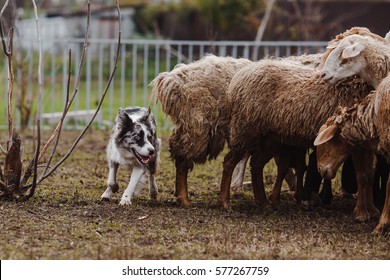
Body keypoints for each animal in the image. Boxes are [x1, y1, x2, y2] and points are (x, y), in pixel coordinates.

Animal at [219, 58, 374, 221]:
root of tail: (238, 78)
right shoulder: (355, 141)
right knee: (229, 162)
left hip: (270, 138)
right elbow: (362, 175)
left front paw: (371, 210)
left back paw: (263, 203)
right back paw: (225, 202)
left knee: (256, 164)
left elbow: (368, 174)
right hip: (245, 129)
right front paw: (362, 213)